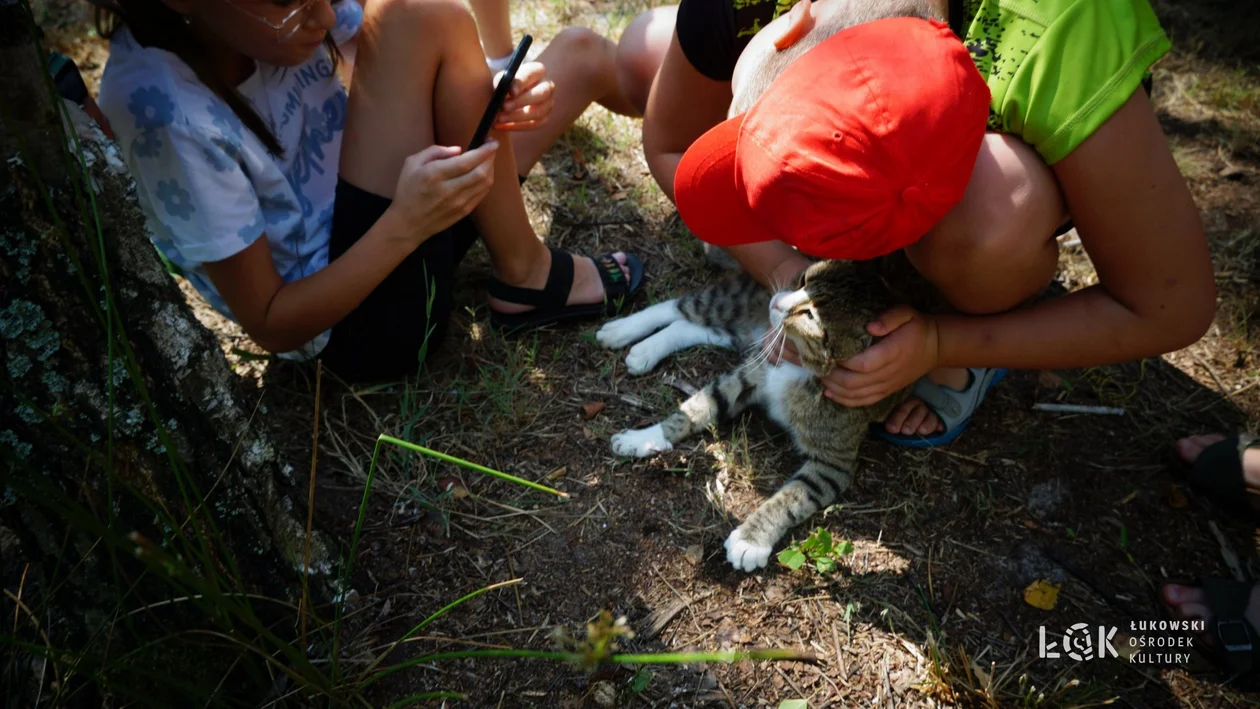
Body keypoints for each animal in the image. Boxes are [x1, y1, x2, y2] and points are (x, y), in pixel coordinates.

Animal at [594, 259, 912, 571]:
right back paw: (621, 330)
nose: (778, 303)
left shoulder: (833, 462)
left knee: (692, 326)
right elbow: (699, 405)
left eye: (810, 315)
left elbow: (795, 495)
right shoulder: (749, 375)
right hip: (735, 300)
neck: (800, 366)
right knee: (681, 307)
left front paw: (751, 540)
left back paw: (645, 349)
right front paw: (643, 438)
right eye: (802, 280)